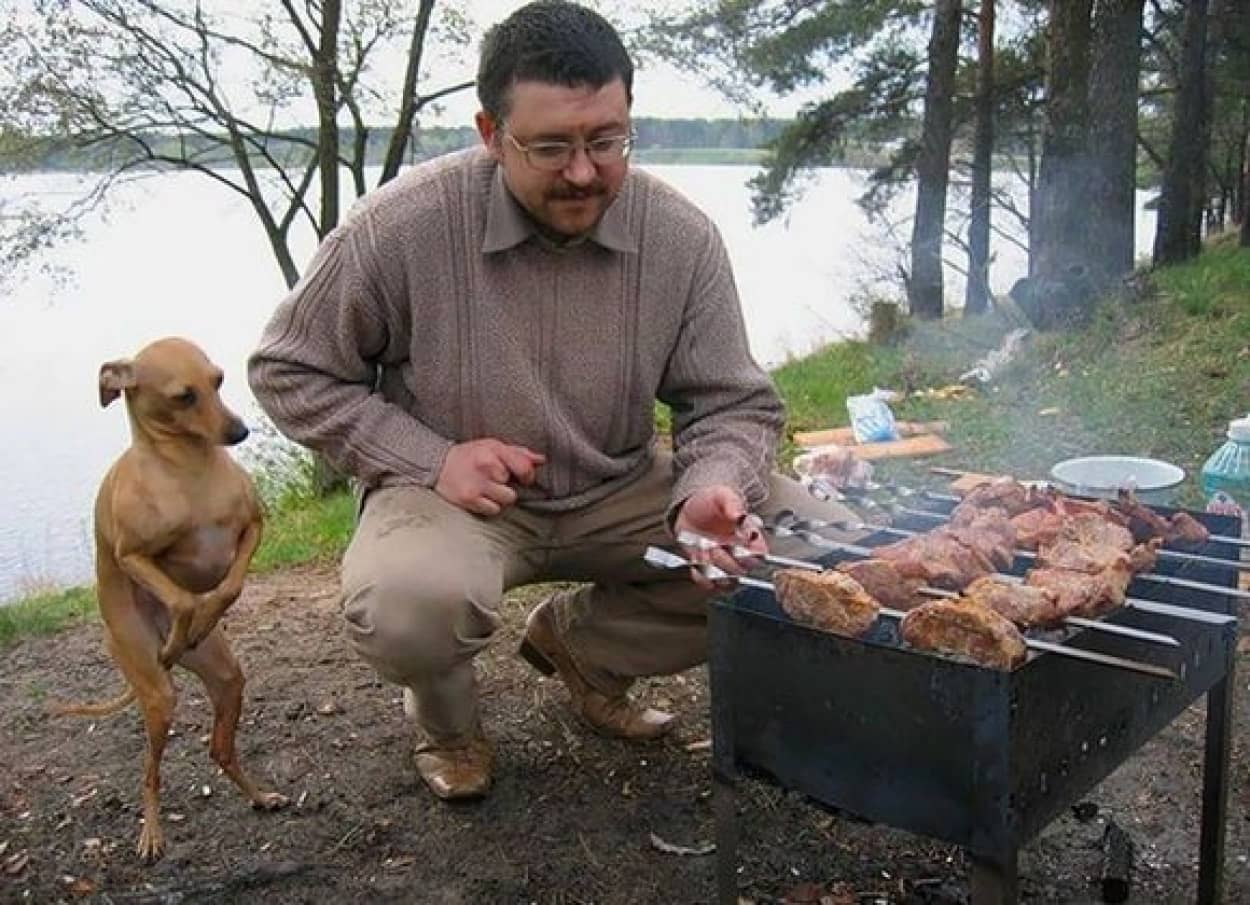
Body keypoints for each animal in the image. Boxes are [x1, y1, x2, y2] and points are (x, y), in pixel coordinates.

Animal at [56, 337, 286, 865]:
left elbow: (228, 587)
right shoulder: (132, 556)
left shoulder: (253, 529)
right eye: (183, 396)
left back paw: (259, 796)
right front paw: (188, 622)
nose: (239, 431)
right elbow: (181, 600)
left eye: (218, 380)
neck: (190, 473)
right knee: (150, 772)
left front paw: (205, 616)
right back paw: (152, 833)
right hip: (156, 693)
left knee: (220, 749)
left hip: (226, 679)